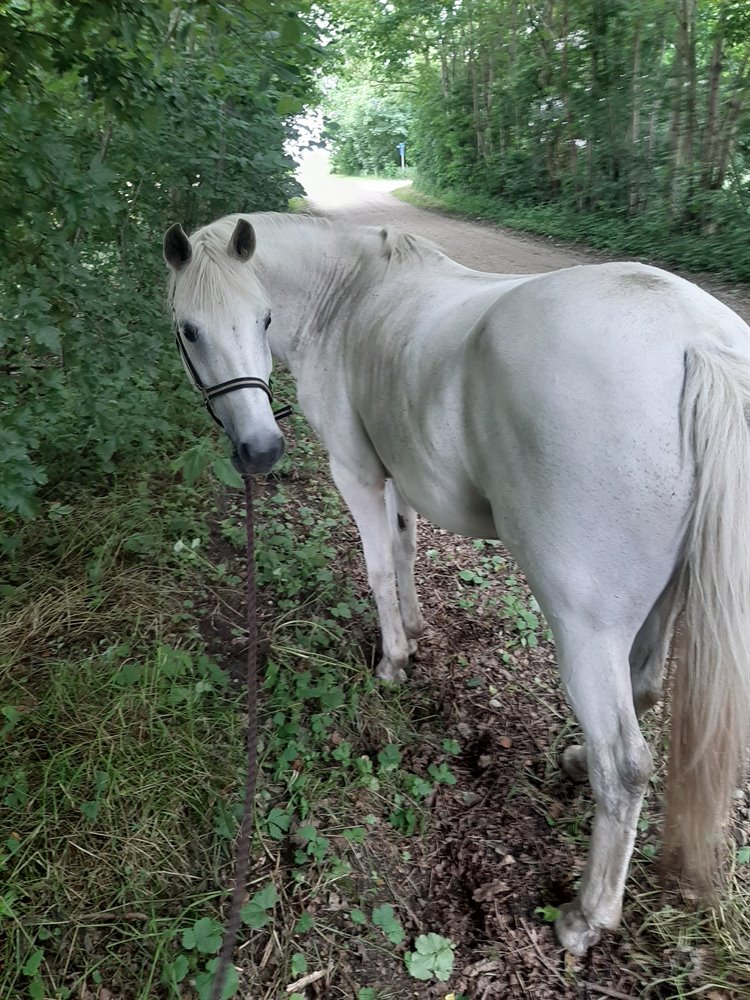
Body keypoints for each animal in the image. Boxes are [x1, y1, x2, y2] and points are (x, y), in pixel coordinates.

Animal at [163, 212, 750, 956]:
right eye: (191, 329)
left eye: (263, 318)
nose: (261, 452)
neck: (346, 300)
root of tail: (700, 345)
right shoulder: (399, 472)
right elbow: (406, 546)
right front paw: (416, 630)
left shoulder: (356, 471)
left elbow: (379, 566)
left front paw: (393, 661)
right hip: (662, 603)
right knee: (641, 693)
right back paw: (575, 763)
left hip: (584, 627)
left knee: (626, 766)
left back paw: (585, 918)